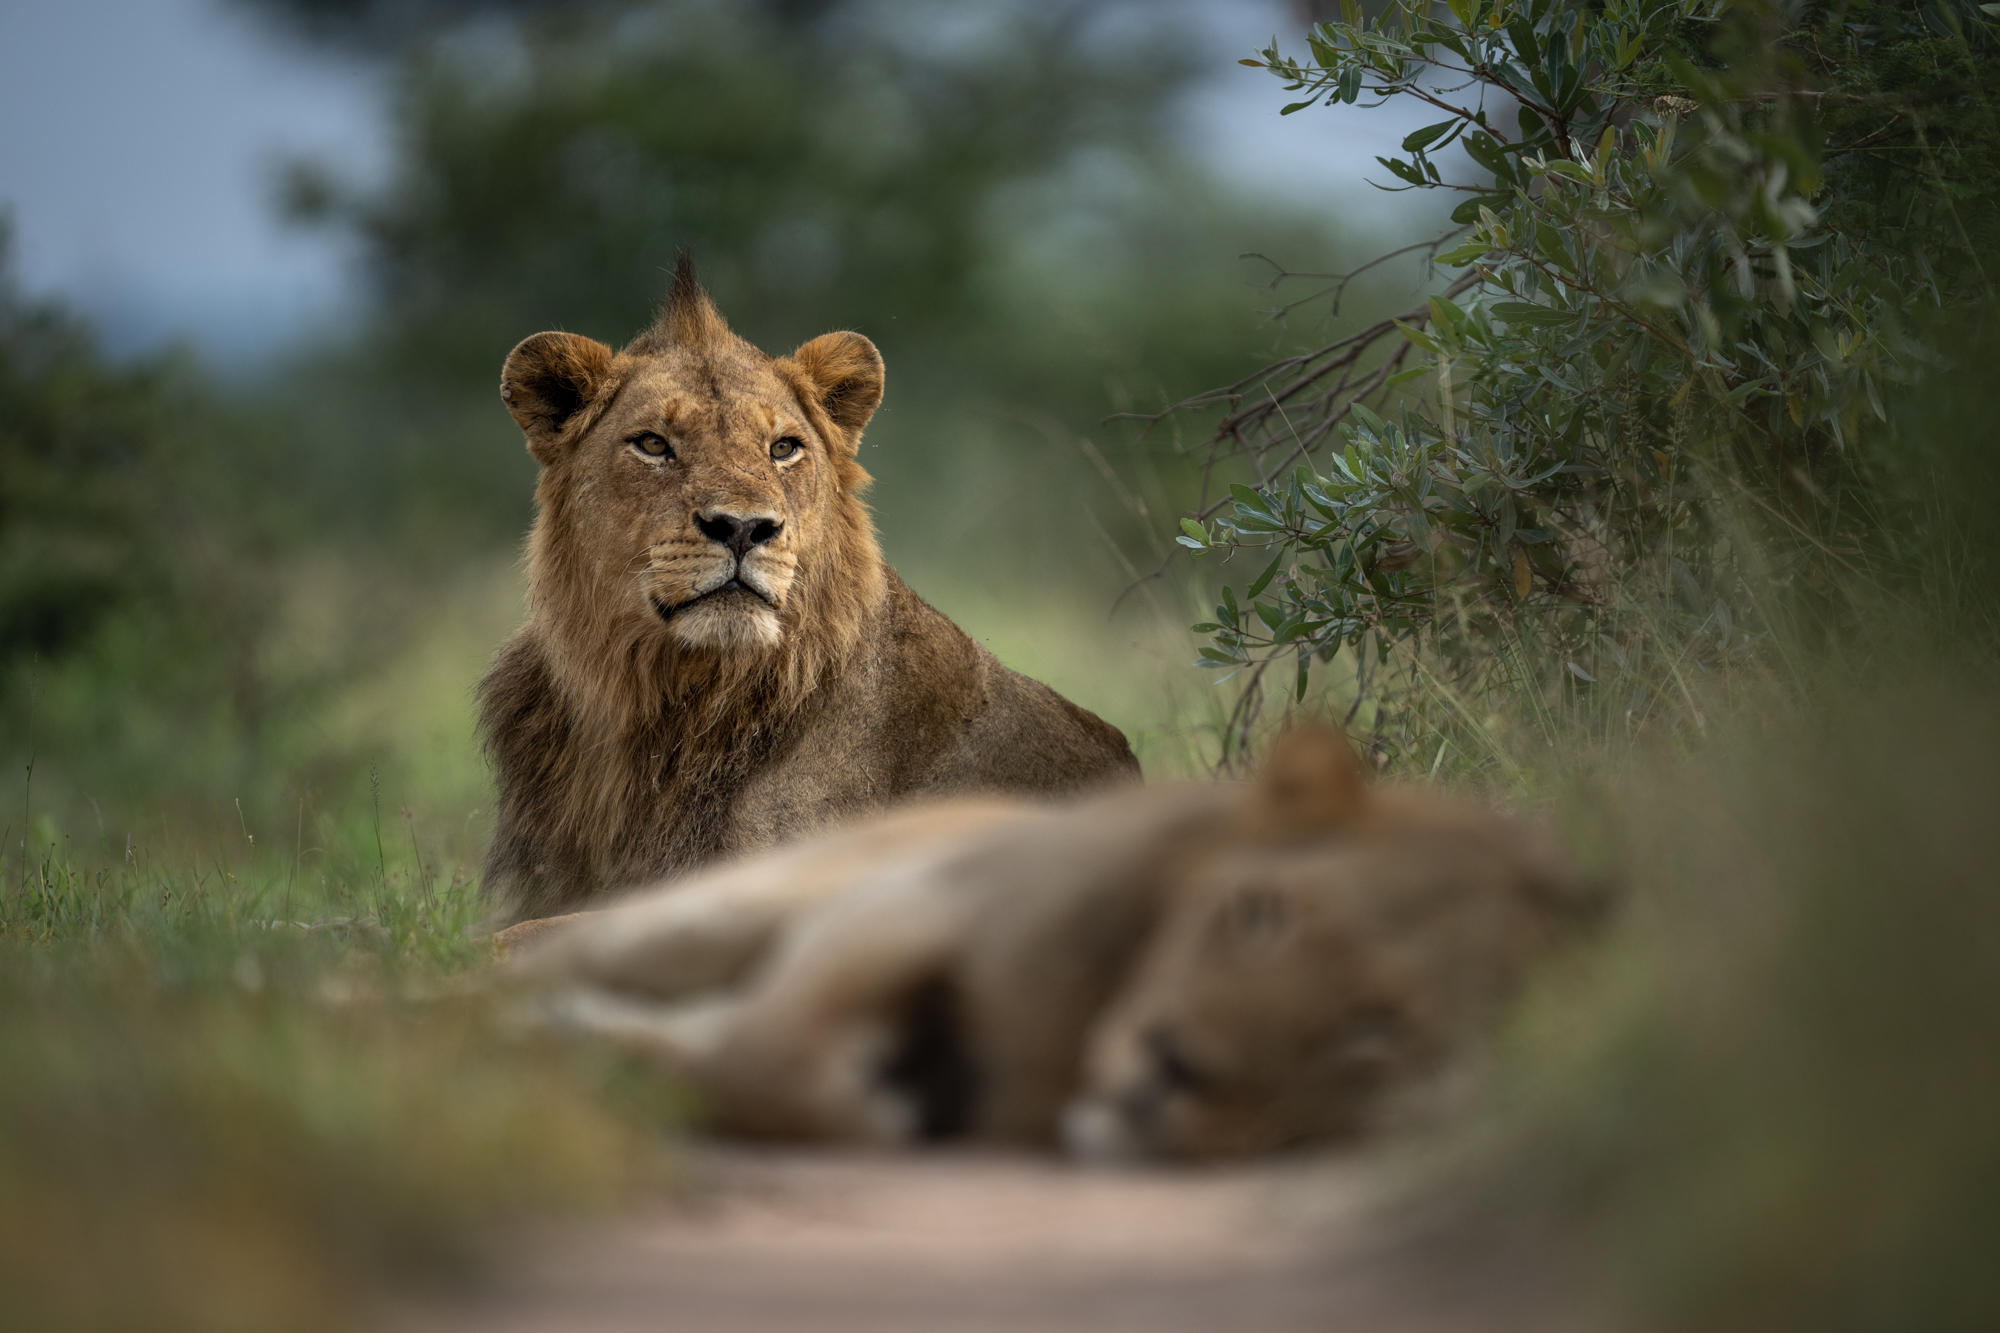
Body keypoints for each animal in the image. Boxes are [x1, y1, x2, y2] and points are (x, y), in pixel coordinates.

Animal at [506, 722, 1598, 1159]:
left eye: (1374, 1031)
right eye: (1257, 911)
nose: (1171, 1070)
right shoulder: (913, 905)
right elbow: (769, 1053)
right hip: (716, 909)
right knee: (527, 953)